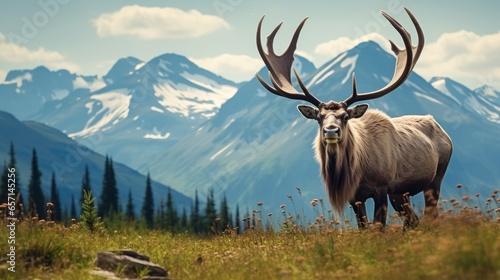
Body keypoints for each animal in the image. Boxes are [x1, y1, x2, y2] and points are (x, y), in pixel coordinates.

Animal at [256, 8, 456, 228]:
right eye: (319, 117)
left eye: (345, 116)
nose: (331, 130)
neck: (356, 172)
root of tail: (443, 131)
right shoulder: (355, 197)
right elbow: (363, 228)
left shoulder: (381, 186)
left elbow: (378, 227)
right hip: (400, 192)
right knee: (412, 220)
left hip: (436, 177)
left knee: (431, 215)